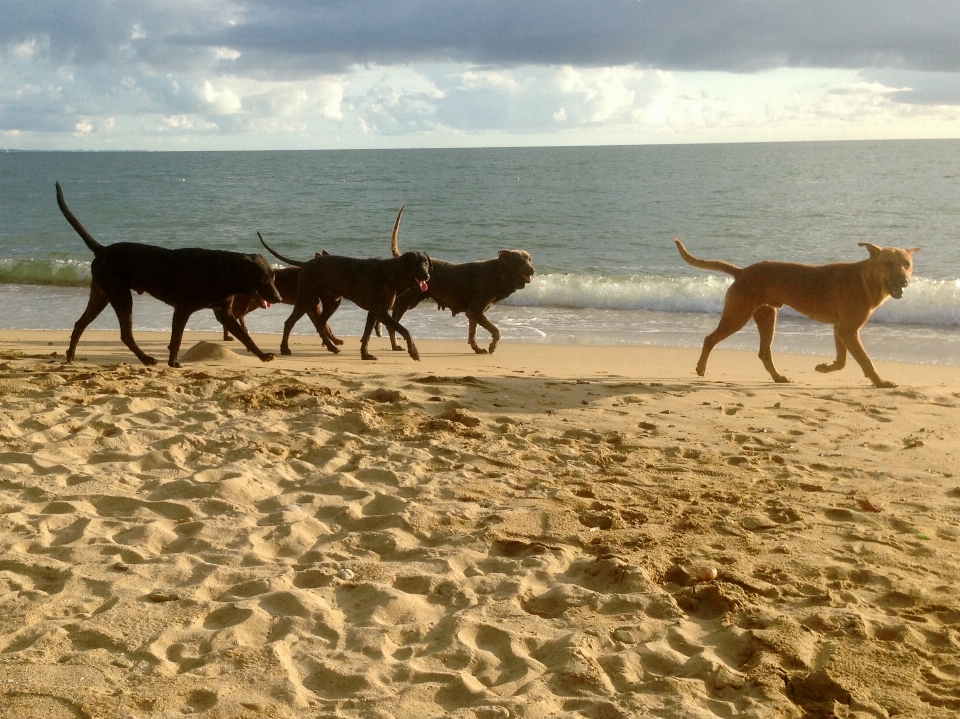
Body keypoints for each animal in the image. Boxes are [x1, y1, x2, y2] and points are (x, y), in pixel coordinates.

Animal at [56, 183, 282, 368]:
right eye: (263, 279)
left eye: (274, 278)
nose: (279, 298)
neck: (222, 271)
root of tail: (102, 250)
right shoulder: (182, 309)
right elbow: (176, 339)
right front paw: (173, 363)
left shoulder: (223, 313)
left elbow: (246, 337)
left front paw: (263, 356)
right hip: (120, 295)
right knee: (125, 334)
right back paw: (146, 359)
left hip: (101, 295)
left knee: (80, 324)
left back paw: (71, 356)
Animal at [258, 229, 432, 360]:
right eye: (416, 263)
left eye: (426, 262)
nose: (427, 276)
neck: (393, 273)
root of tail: (306, 263)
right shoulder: (381, 313)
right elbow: (405, 331)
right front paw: (414, 352)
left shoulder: (373, 313)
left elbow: (366, 336)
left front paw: (365, 355)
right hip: (305, 299)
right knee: (290, 322)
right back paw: (285, 348)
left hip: (332, 302)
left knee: (320, 324)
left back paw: (331, 347)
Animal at [680, 239, 920, 390]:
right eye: (887, 264)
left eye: (907, 264)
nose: (904, 282)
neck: (865, 279)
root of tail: (742, 272)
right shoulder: (849, 330)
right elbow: (866, 361)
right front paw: (881, 382)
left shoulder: (841, 329)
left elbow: (842, 361)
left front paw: (825, 367)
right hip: (738, 314)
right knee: (710, 339)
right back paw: (701, 367)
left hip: (767, 316)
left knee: (764, 353)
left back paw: (778, 377)